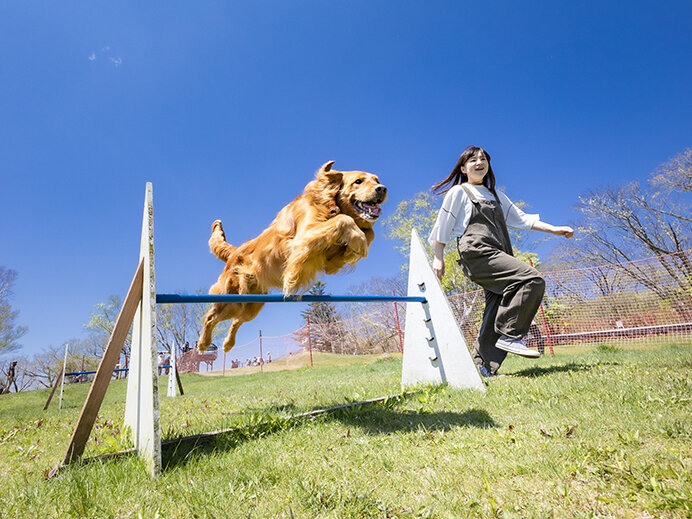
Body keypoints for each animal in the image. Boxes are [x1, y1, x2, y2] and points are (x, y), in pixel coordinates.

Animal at [197, 160, 386, 352]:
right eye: (358, 181)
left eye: (377, 180)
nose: (382, 189)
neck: (329, 203)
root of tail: (234, 252)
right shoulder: (302, 238)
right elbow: (344, 219)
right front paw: (359, 240)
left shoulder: (329, 261)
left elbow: (368, 233)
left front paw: (359, 242)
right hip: (231, 297)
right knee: (211, 317)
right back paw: (203, 343)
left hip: (252, 303)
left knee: (237, 320)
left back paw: (228, 343)